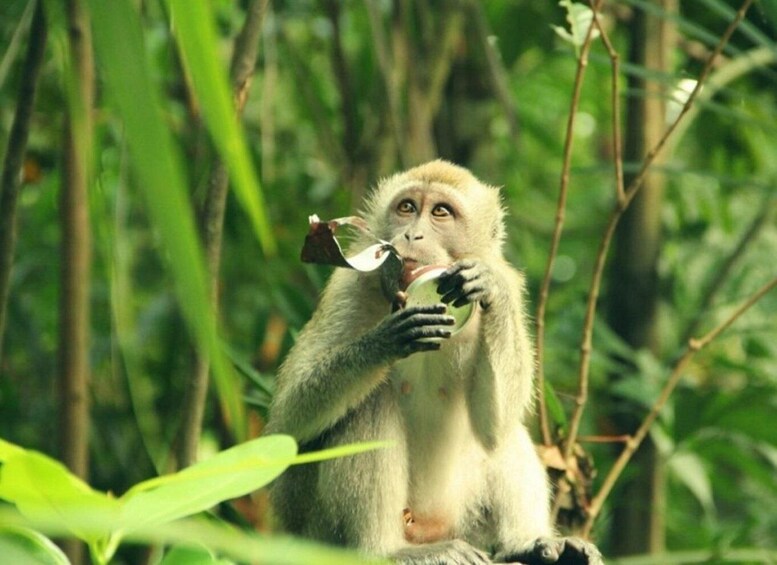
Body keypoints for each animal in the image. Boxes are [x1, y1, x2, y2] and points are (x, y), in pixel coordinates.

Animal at [266, 161, 600, 560]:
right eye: (407, 207)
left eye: (441, 212)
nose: (412, 235)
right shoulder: (348, 288)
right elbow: (288, 421)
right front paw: (387, 340)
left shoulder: (506, 277)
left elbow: (496, 423)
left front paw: (488, 287)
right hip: (317, 531)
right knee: (368, 406)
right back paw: (387, 551)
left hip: (466, 520)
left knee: (505, 433)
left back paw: (529, 545)